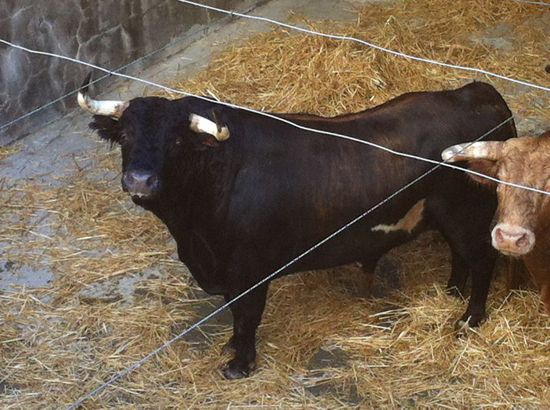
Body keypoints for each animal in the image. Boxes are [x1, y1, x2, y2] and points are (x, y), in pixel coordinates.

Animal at [81, 79, 516, 378]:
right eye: (126, 135)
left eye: (175, 141)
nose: (139, 180)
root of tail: (477, 92)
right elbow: (235, 315)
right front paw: (232, 348)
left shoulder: (249, 272)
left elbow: (246, 316)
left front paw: (240, 364)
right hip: (449, 217)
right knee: (460, 255)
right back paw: (452, 292)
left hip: (467, 213)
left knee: (482, 259)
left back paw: (469, 318)